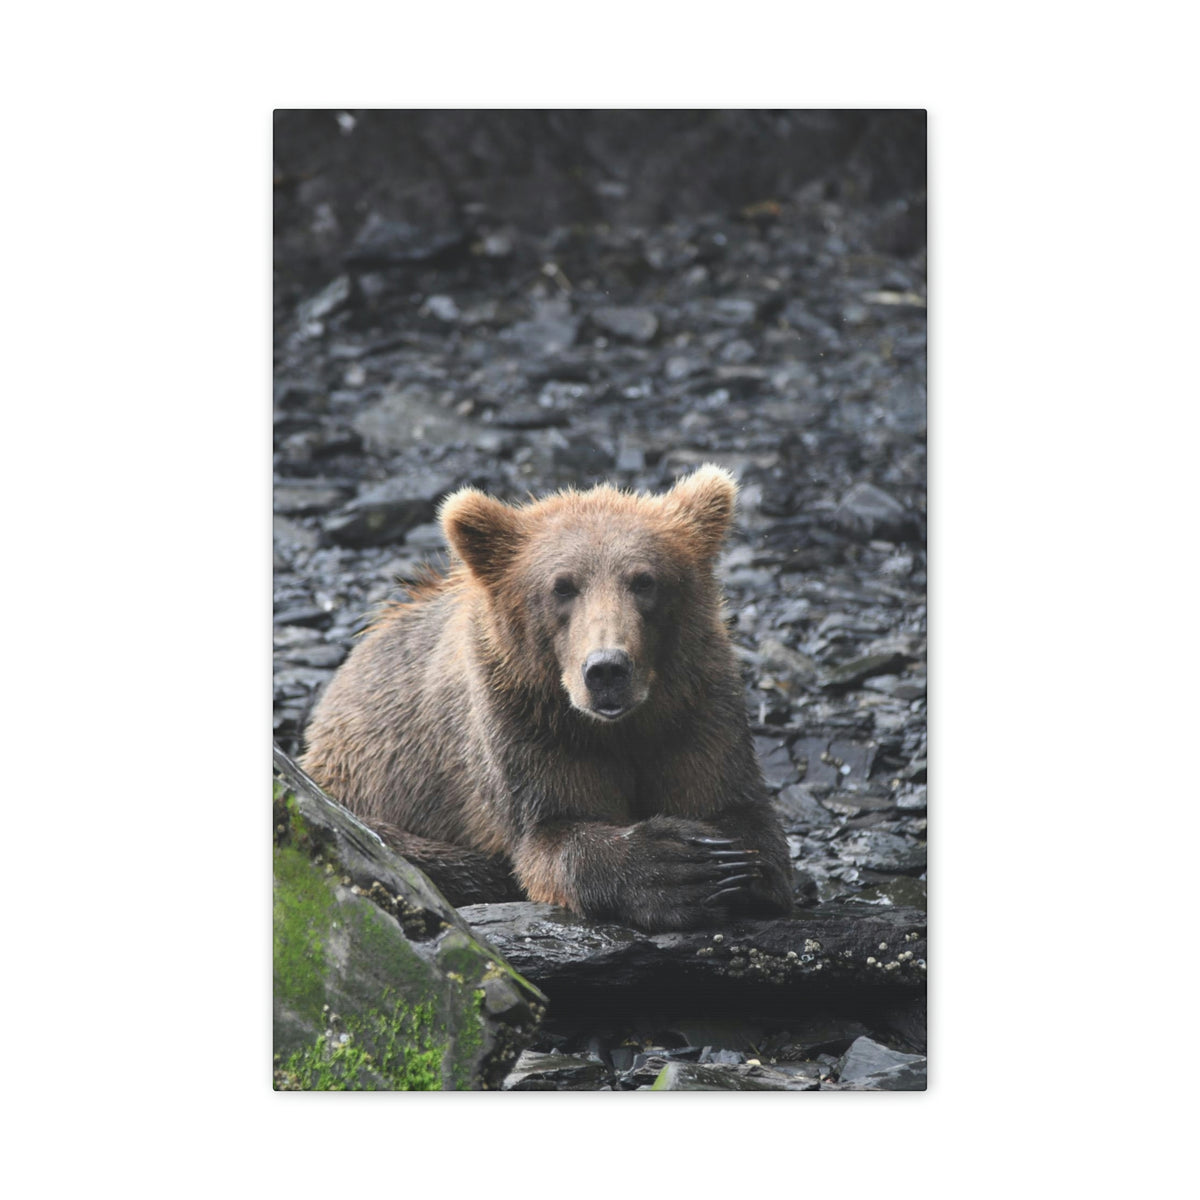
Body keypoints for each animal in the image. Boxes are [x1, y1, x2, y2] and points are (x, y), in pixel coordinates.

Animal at [301, 465, 794, 932]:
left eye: (644, 581)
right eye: (562, 586)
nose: (607, 669)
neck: (618, 726)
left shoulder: (695, 706)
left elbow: (735, 807)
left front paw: (728, 863)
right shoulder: (525, 723)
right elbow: (551, 833)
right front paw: (675, 866)